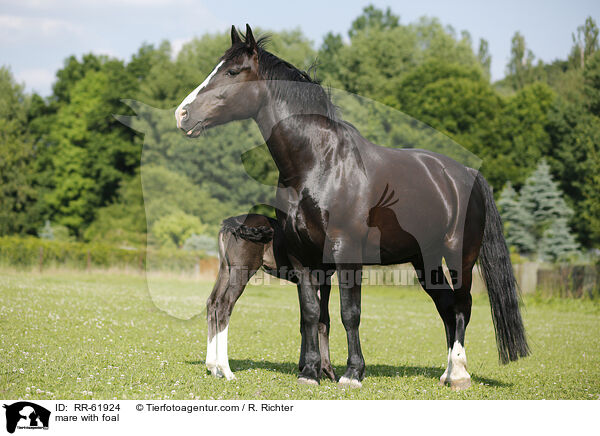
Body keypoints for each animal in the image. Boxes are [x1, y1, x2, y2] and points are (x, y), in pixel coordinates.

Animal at [206, 214, 338, 382]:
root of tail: (230, 224)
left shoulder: (302, 282)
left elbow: (305, 320)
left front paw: (305, 367)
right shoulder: (323, 278)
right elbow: (323, 320)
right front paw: (328, 371)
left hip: (225, 270)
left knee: (212, 303)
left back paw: (213, 368)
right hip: (241, 270)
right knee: (224, 305)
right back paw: (227, 371)